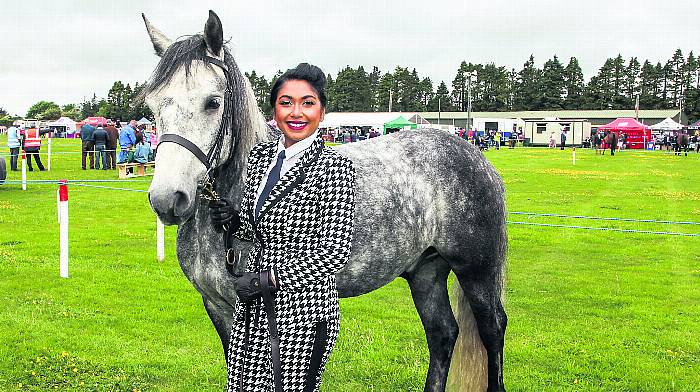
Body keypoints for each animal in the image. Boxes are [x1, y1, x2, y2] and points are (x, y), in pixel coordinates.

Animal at [144, 9, 504, 392]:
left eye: (212, 102)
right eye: (152, 105)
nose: (167, 198)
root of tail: (474, 153)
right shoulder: (218, 307)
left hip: (477, 270)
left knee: (493, 330)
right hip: (426, 271)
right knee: (442, 334)